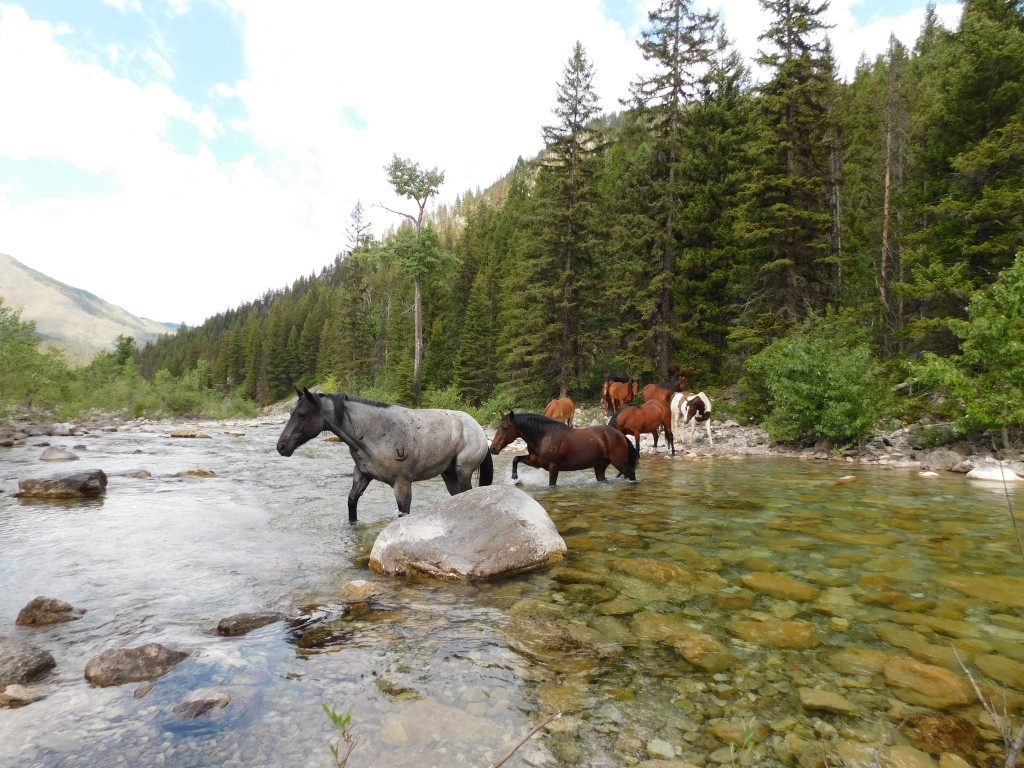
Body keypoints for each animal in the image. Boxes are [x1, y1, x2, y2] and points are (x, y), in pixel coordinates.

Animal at [276, 391, 491, 524]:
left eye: (302, 414)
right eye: (293, 413)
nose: (281, 446)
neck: (377, 432)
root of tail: (478, 428)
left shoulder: (402, 485)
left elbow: (403, 514)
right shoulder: (362, 475)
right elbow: (352, 502)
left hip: (463, 472)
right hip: (449, 474)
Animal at [489, 409, 638, 487]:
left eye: (505, 428)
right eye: (498, 427)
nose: (493, 449)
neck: (543, 437)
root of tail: (620, 434)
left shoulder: (553, 467)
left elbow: (551, 484)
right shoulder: (535, 462)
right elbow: (516, 459)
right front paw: (515, 478)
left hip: (620, 463)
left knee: (631, 475)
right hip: (600, 466)